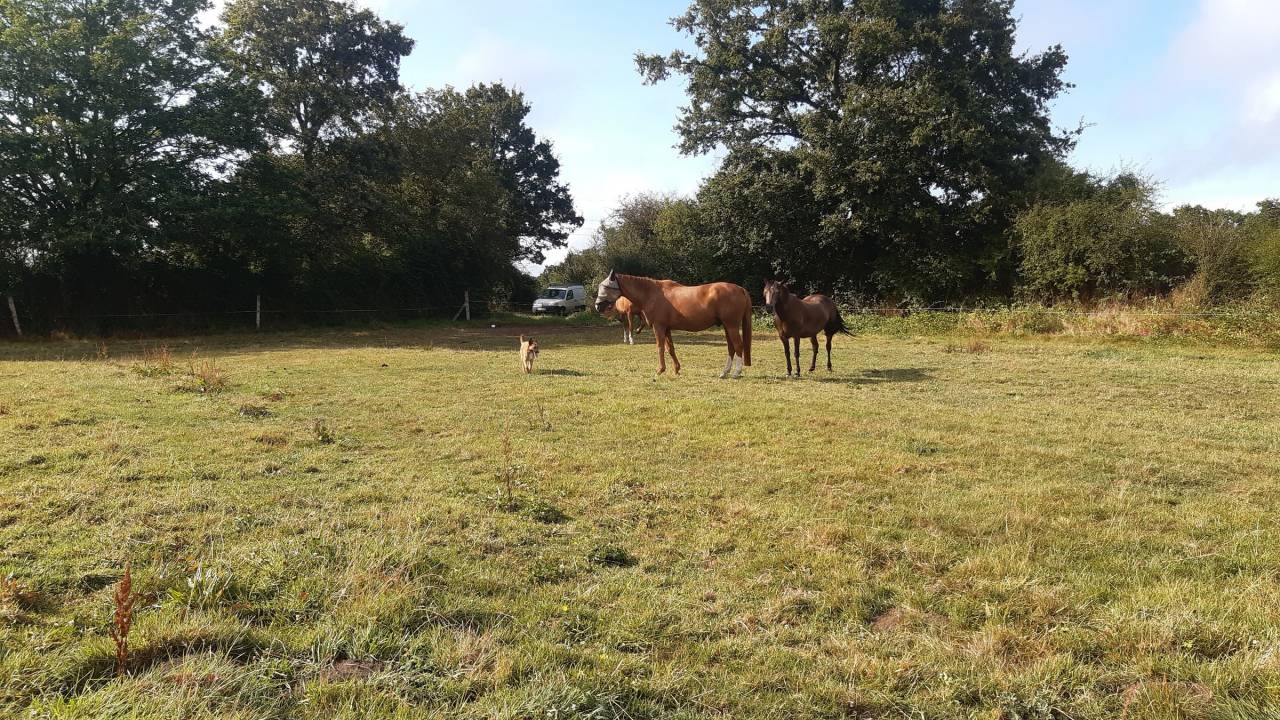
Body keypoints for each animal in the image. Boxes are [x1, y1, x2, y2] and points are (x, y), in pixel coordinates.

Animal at [595, 270, 752, 377]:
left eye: (606, 287)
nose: (597, 306)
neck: (651, 293)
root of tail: (740, 289)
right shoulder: (667, 328)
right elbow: (670, 348)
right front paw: (676, 369)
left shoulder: (658, 327)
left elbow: (660, 347)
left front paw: (660, 370)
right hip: (727, 326)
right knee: (731, 348)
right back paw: (724, 372)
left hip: (731, 325)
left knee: (738, 346)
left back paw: (736, 372)